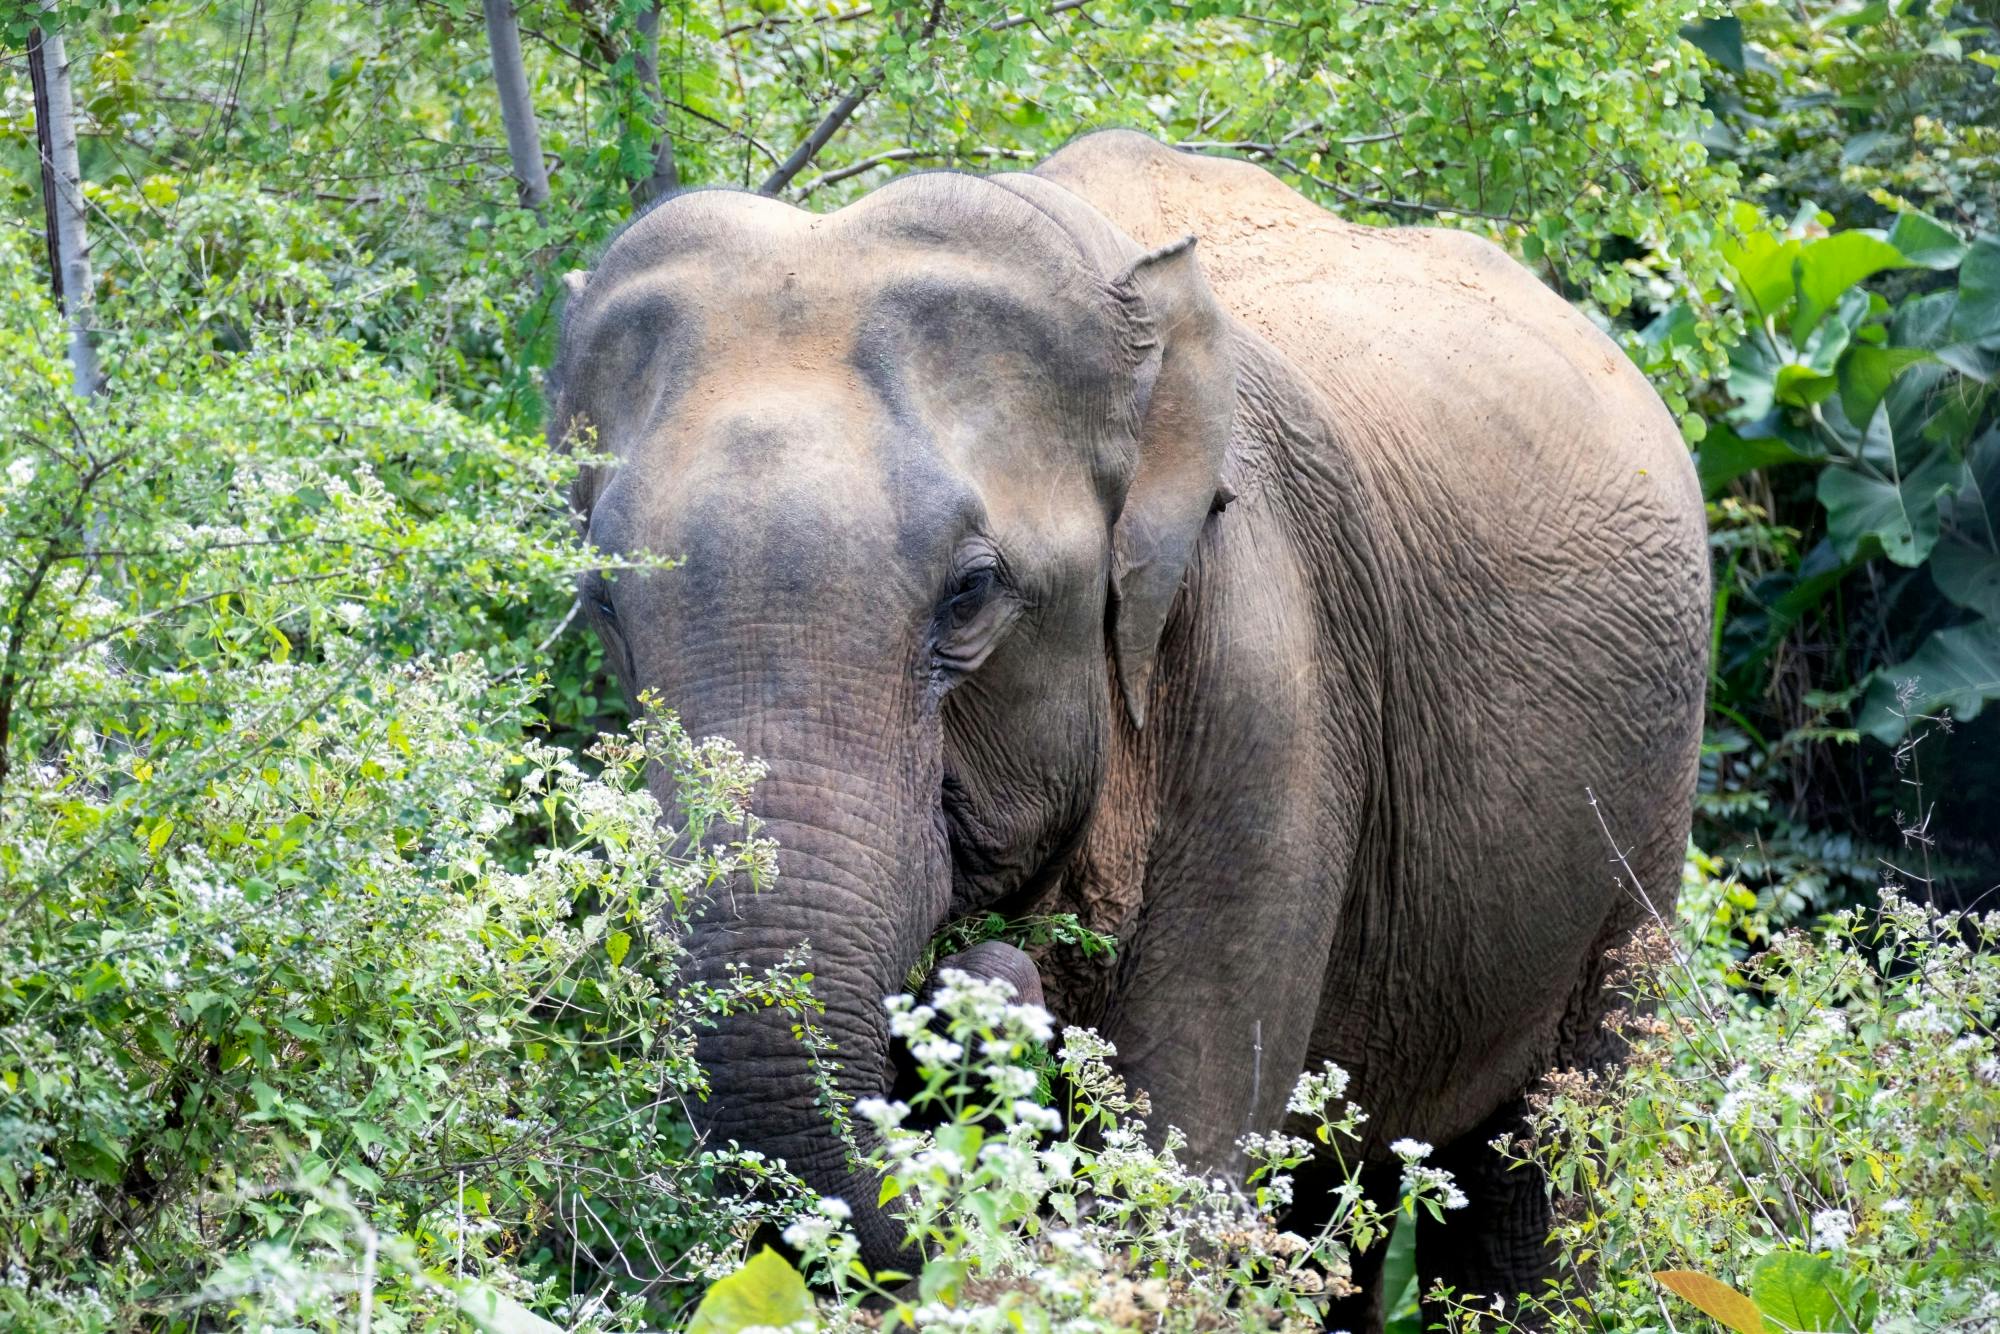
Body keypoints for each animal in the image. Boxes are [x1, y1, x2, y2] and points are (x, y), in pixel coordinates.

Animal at [548, 130, 1704, 1328]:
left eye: (970, 593)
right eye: (600, 601)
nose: (984, 984)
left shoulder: (1271, 685)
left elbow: (1169, 1174)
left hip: (1641, 828)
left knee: (1542, 1177)